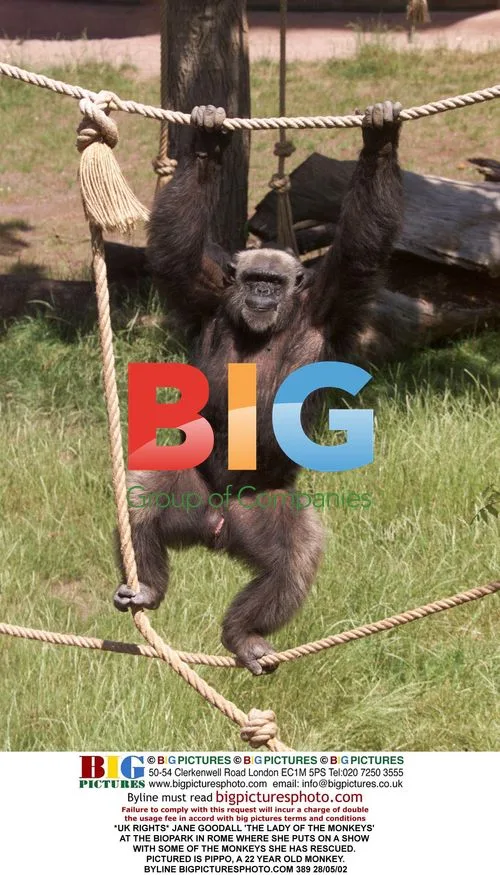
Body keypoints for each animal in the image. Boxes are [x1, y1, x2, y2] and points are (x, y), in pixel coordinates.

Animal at [113, 100, 404, 675]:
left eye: (274, 282)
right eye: (252, 280)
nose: (263, 295)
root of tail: (216, 528)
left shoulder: (331, 297)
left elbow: (359, 249)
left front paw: (380, 139)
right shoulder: (206, 292)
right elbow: (176, 255)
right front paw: (207, 143)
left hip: (263, 511)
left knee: (294, 559)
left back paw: (245, 634)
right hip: (189, 490)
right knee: (142, 495)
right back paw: (150, 587)